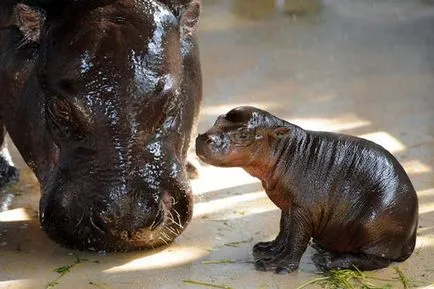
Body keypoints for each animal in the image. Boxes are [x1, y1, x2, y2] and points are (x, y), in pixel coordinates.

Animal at [196, 106, 418, 272]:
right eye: (218, 118)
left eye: (244, 134)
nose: (202, 137)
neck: (288, 151)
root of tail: (412, 237)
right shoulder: (288, 205)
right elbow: (284, 230)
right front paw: (266, 249)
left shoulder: (304, 210)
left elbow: (297, 238)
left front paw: (276, 265)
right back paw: (321, 249)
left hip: (371, 226)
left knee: (377, 260)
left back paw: (326, 261)